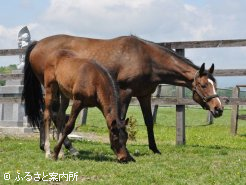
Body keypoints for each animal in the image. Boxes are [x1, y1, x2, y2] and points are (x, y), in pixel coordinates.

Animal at [22, 34, 223, 155]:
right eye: (204, 85)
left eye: (215, 84)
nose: (218, 109)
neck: (146, 57)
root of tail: (37, 44)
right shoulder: (125, 92)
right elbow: (120, 118)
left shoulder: (144, 95)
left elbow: (149, 122)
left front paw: (154, 149)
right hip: (53, 88)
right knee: (52, 114)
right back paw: (63, 148)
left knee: (52, 115)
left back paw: (52, 147)